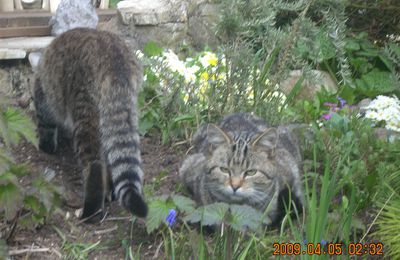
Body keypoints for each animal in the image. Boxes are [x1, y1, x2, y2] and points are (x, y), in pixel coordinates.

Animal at [32, 27, 148, 221]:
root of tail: (114, 58)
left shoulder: (44, 97)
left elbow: (46, 124)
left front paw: (46, 145)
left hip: (84, 101)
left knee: (93, 161)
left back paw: (92, 205)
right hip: (120, 109)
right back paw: (109, 187)